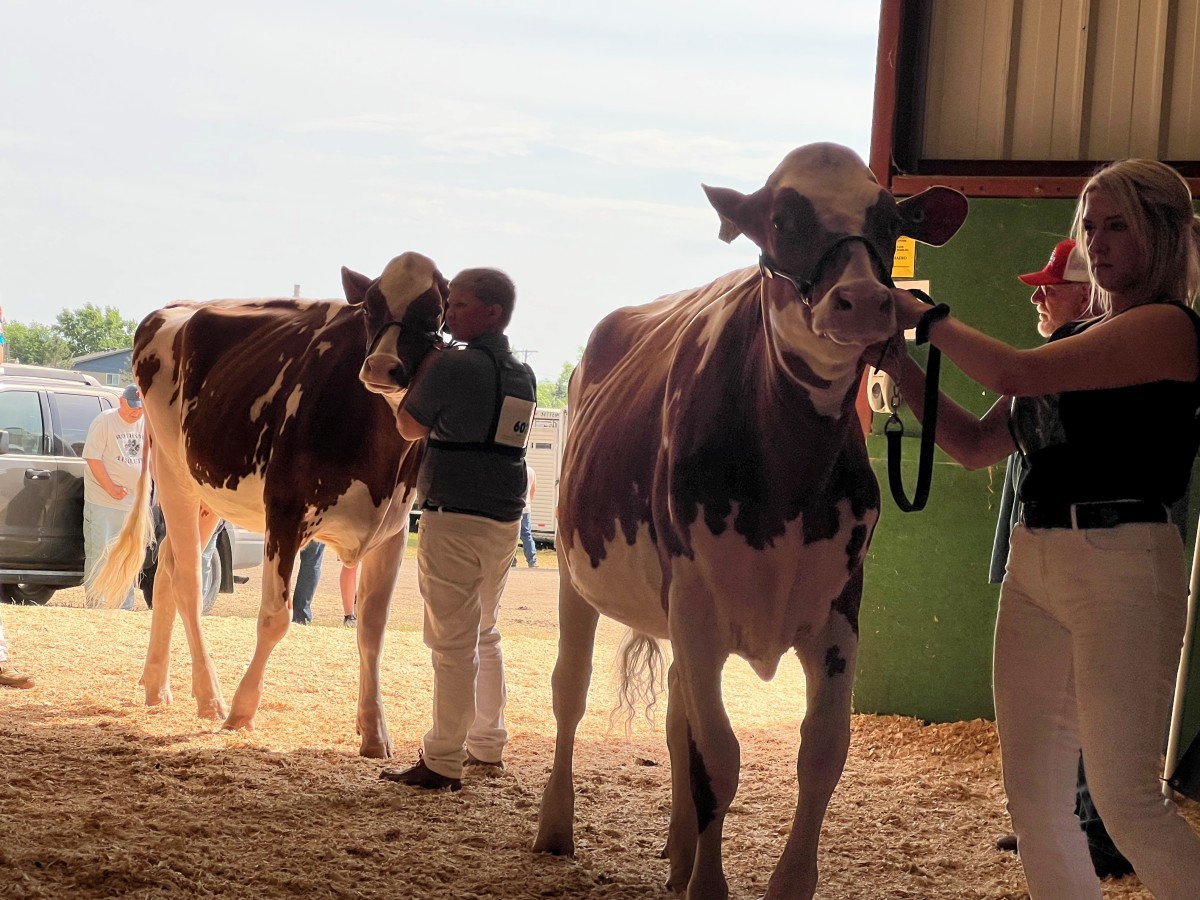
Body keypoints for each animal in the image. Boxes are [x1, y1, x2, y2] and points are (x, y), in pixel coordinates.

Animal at [93, 250, 448, 758]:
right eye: (370, 307)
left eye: (435, 313)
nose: (382, 366)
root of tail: (176, 307)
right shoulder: (285, 513)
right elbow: (275, 619)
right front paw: (242, 711)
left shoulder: (393, 531)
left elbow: (371, 630)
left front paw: (375, 731)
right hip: (174, 472)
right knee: (187, 582)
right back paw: (210, 697)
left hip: (208, 494)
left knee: (165, 573)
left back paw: (157, 686)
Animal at [532, 144, 964, 897]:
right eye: (781, 219)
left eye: (889, 221)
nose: (865, 301)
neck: (786, 477)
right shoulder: (699, 604)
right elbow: (718, 758)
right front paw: (709, 884)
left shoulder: (839, 610)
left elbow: (821, 753)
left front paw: (777, 881)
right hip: (577, 579)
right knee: (570, 691)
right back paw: (556, 826)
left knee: (676, 711)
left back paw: (678, 851)